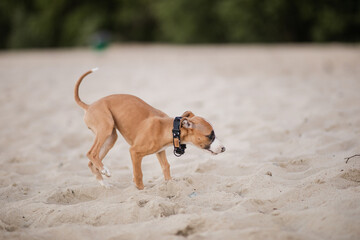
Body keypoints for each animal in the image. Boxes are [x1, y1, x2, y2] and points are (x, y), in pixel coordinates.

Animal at [74, 68, 225, 189]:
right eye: (210, 135)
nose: (224, 148)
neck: (169, 129)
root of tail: (89, 106)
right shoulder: (134, 152)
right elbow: (139, 174)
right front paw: (141, 190)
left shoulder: (160, 152)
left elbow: (166, 167)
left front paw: (170, 185)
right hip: (106, 127)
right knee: (91, 153)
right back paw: (105, 171)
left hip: (110, 137)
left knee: (91, 162)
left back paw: (104, 183)